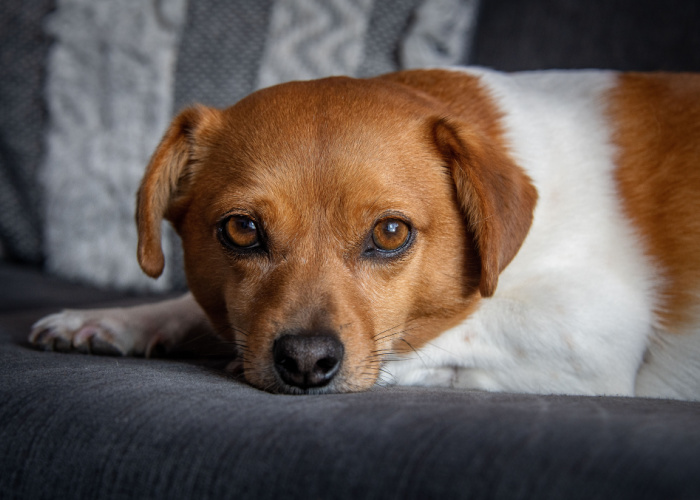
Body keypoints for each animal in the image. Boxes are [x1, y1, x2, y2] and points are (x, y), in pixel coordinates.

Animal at [30, 68, 700, 400]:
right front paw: (116, 320)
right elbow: (190, 304)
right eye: (242, 230)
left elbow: (447, 334)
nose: (305, 361)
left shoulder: (594, 331)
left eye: (391, 232)